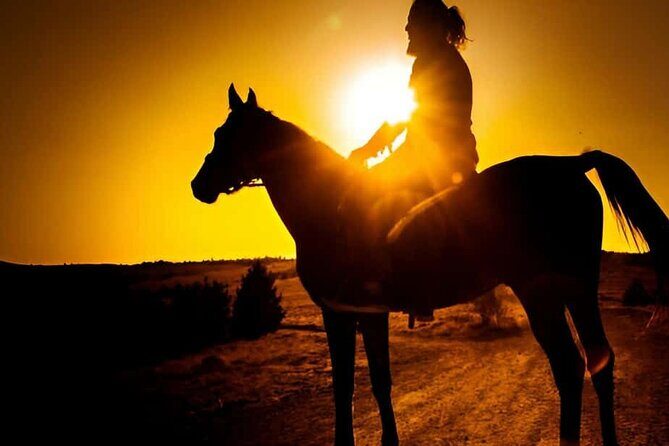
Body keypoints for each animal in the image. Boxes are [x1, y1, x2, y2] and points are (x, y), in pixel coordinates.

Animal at [191, 84, 668, 446]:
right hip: (576, 288)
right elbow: (377, 381)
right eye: (217, 132)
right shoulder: (366, 314)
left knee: (570, 366)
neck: (329, 205)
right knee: (598, 362)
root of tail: (571, 165)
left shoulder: (341, 312)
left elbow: (348, 384)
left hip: (541, 291)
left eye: (229, 135)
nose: (198, 186)